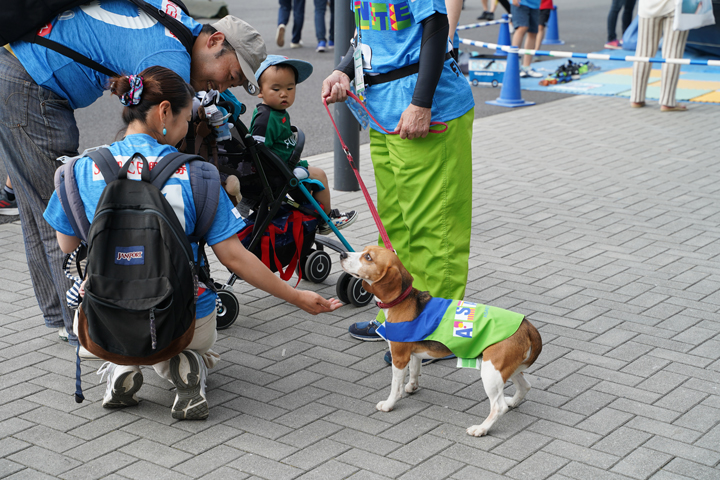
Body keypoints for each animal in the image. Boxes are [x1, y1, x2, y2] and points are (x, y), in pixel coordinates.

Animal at [340, 246, 544, 436]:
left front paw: (389, 404)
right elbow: (415, 371)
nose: (342, 254)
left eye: (368, 257)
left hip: (491, 372)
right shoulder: (413, 353)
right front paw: (412, 386)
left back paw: (481, 429)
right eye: (364, 250)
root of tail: (527, 325)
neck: (403, 301)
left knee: (498, 407)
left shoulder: (399, 357)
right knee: (525, 386)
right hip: (507, 368)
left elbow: (395, 386)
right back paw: (513, 402)